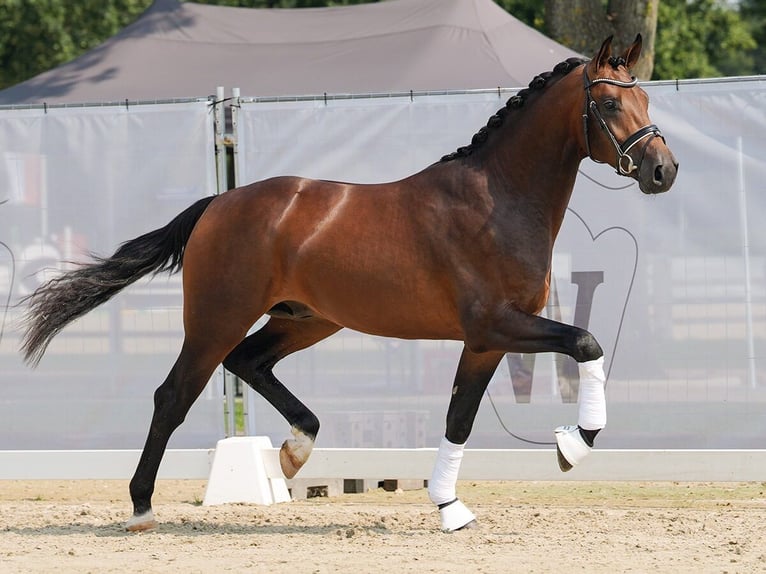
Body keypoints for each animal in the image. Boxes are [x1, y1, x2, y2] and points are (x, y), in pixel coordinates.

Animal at [18, 37, 680, 536]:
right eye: (609, 103)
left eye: (646, 96)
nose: (663, 170)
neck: (498, 200)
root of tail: (218, 203)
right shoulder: (497, 325)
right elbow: (586, 342)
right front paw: (574, 445)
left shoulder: (485, 342)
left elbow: (459, 418)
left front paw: (450, 507)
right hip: (215, 320)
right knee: (173, 395)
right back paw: (141, 507)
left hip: (305, 319)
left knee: (250, 363)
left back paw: (295, 451)